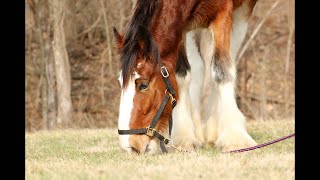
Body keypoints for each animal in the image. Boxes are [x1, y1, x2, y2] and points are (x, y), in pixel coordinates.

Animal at [114, 0, 258, 155]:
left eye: (143, 85)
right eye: (120, 82)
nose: (130, 147)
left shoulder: (224, 13)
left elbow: (222, 71)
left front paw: (235, 140)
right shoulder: (182, 27)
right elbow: (182, 75)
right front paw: (184, 139)